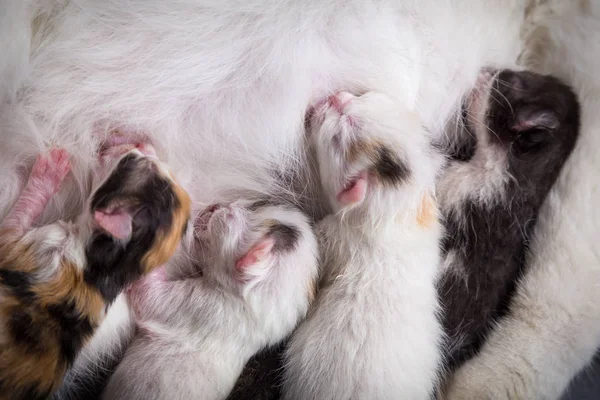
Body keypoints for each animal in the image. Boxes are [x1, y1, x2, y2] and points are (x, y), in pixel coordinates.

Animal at [0, 138, 190, 400]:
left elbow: (21, 212)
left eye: (128, 160)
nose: (140, 142)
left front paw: (50, 168)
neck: (103, 271)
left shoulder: (21, 244)